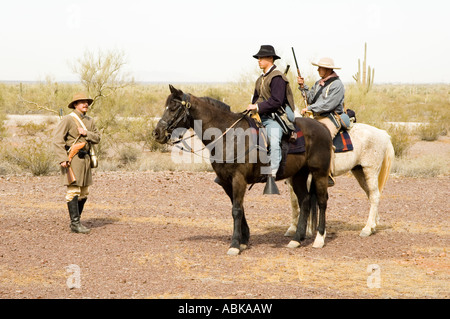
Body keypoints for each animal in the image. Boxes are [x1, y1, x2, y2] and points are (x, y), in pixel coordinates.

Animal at [153, 85, 332, 255]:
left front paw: (234, 245)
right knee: (305, 201)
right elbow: (239, 208)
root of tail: (322, 127)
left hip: (319, 174)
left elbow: (237, 210)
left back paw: (319, 238)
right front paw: (244, 241)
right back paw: (297, 239)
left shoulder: (238, 179)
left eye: (174, 107)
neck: (228, 135)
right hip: (298, 176)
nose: (157, 133)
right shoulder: (226, 181)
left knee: (322, 202)